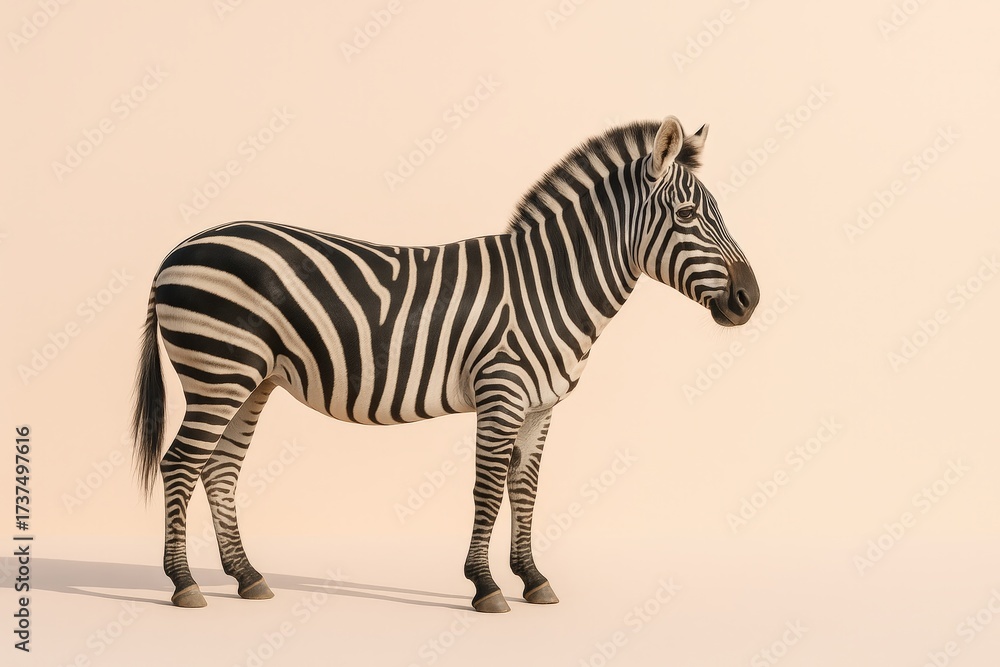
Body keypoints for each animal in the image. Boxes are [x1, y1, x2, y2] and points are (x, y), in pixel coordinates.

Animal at [132, 116, 759, 613]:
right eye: (687, 214)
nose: (750, 299)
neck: (549, 286)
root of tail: (179, 248)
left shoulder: (541, 407)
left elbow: (526, 489)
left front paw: (533, 579)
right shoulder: (501, 391)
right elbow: (488, 489)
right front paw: (486, 586)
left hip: (250, 378)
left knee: (219, 469)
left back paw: (247, 577)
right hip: (219, 370)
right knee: (181, 463)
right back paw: (184, 584)